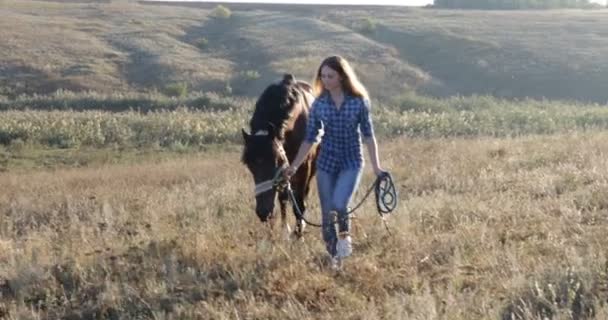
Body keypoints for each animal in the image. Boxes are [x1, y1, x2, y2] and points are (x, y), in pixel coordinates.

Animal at [241, 74, 318, 236]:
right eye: (249, 164)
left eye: (277, 160)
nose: (263, 213)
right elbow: (283, 198)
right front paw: (284, 231)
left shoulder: (303, 169)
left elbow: (300, 204)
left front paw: (298, 234)